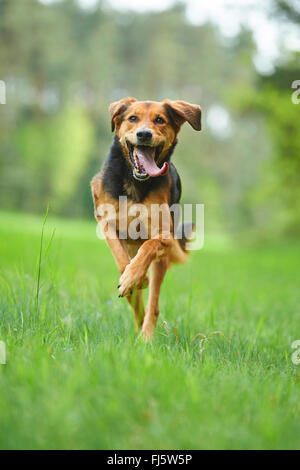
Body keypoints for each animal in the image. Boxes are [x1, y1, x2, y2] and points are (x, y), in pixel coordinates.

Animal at [90, 98, 200, 342]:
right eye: (133, 118)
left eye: (160, 120)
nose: (143, 134)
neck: (135, 181)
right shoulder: (105, 220)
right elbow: (121, 259)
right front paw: (132, 278)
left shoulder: (164, 235)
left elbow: (150, 245)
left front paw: (135, 276)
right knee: (136, 304)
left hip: (162, 263)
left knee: (153, 305)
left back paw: (146, 337)